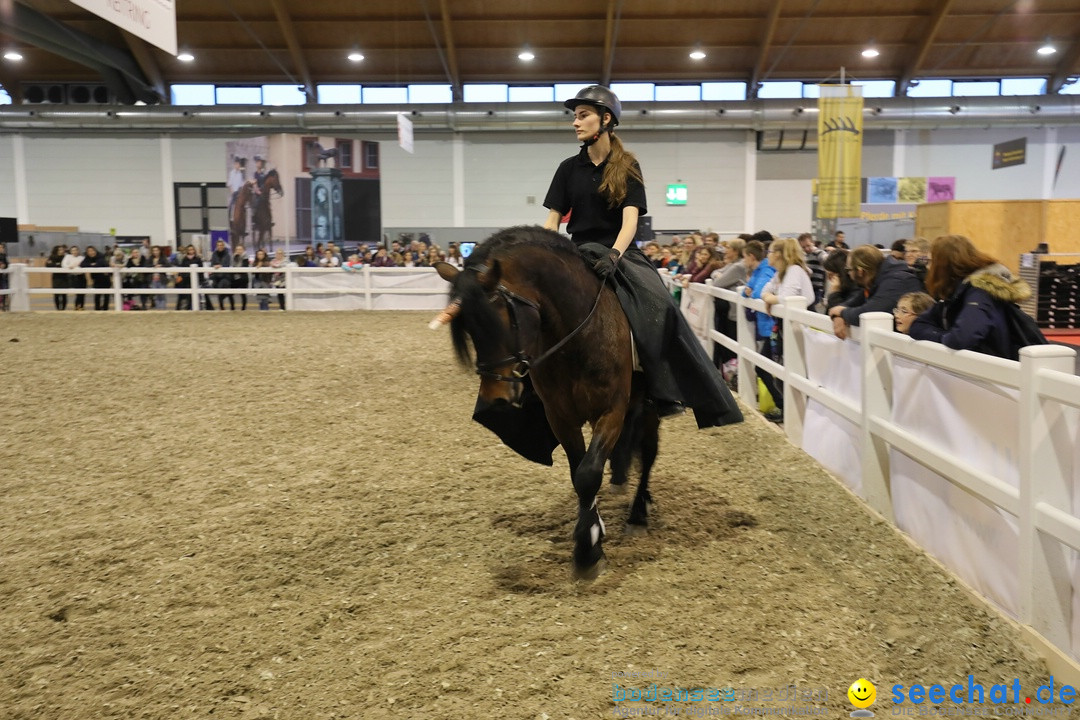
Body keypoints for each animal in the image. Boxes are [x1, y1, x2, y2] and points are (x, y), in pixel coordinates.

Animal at [436, 227, 656, 578]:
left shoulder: (611, 411)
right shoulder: (560, 417)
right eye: (469, 328)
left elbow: (588, 473)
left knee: (648, 453)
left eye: (498, 321)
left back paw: (638, 514)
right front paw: (591, 534)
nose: (494, 401)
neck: (578, 336)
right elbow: (578, 473)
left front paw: (588, 550)